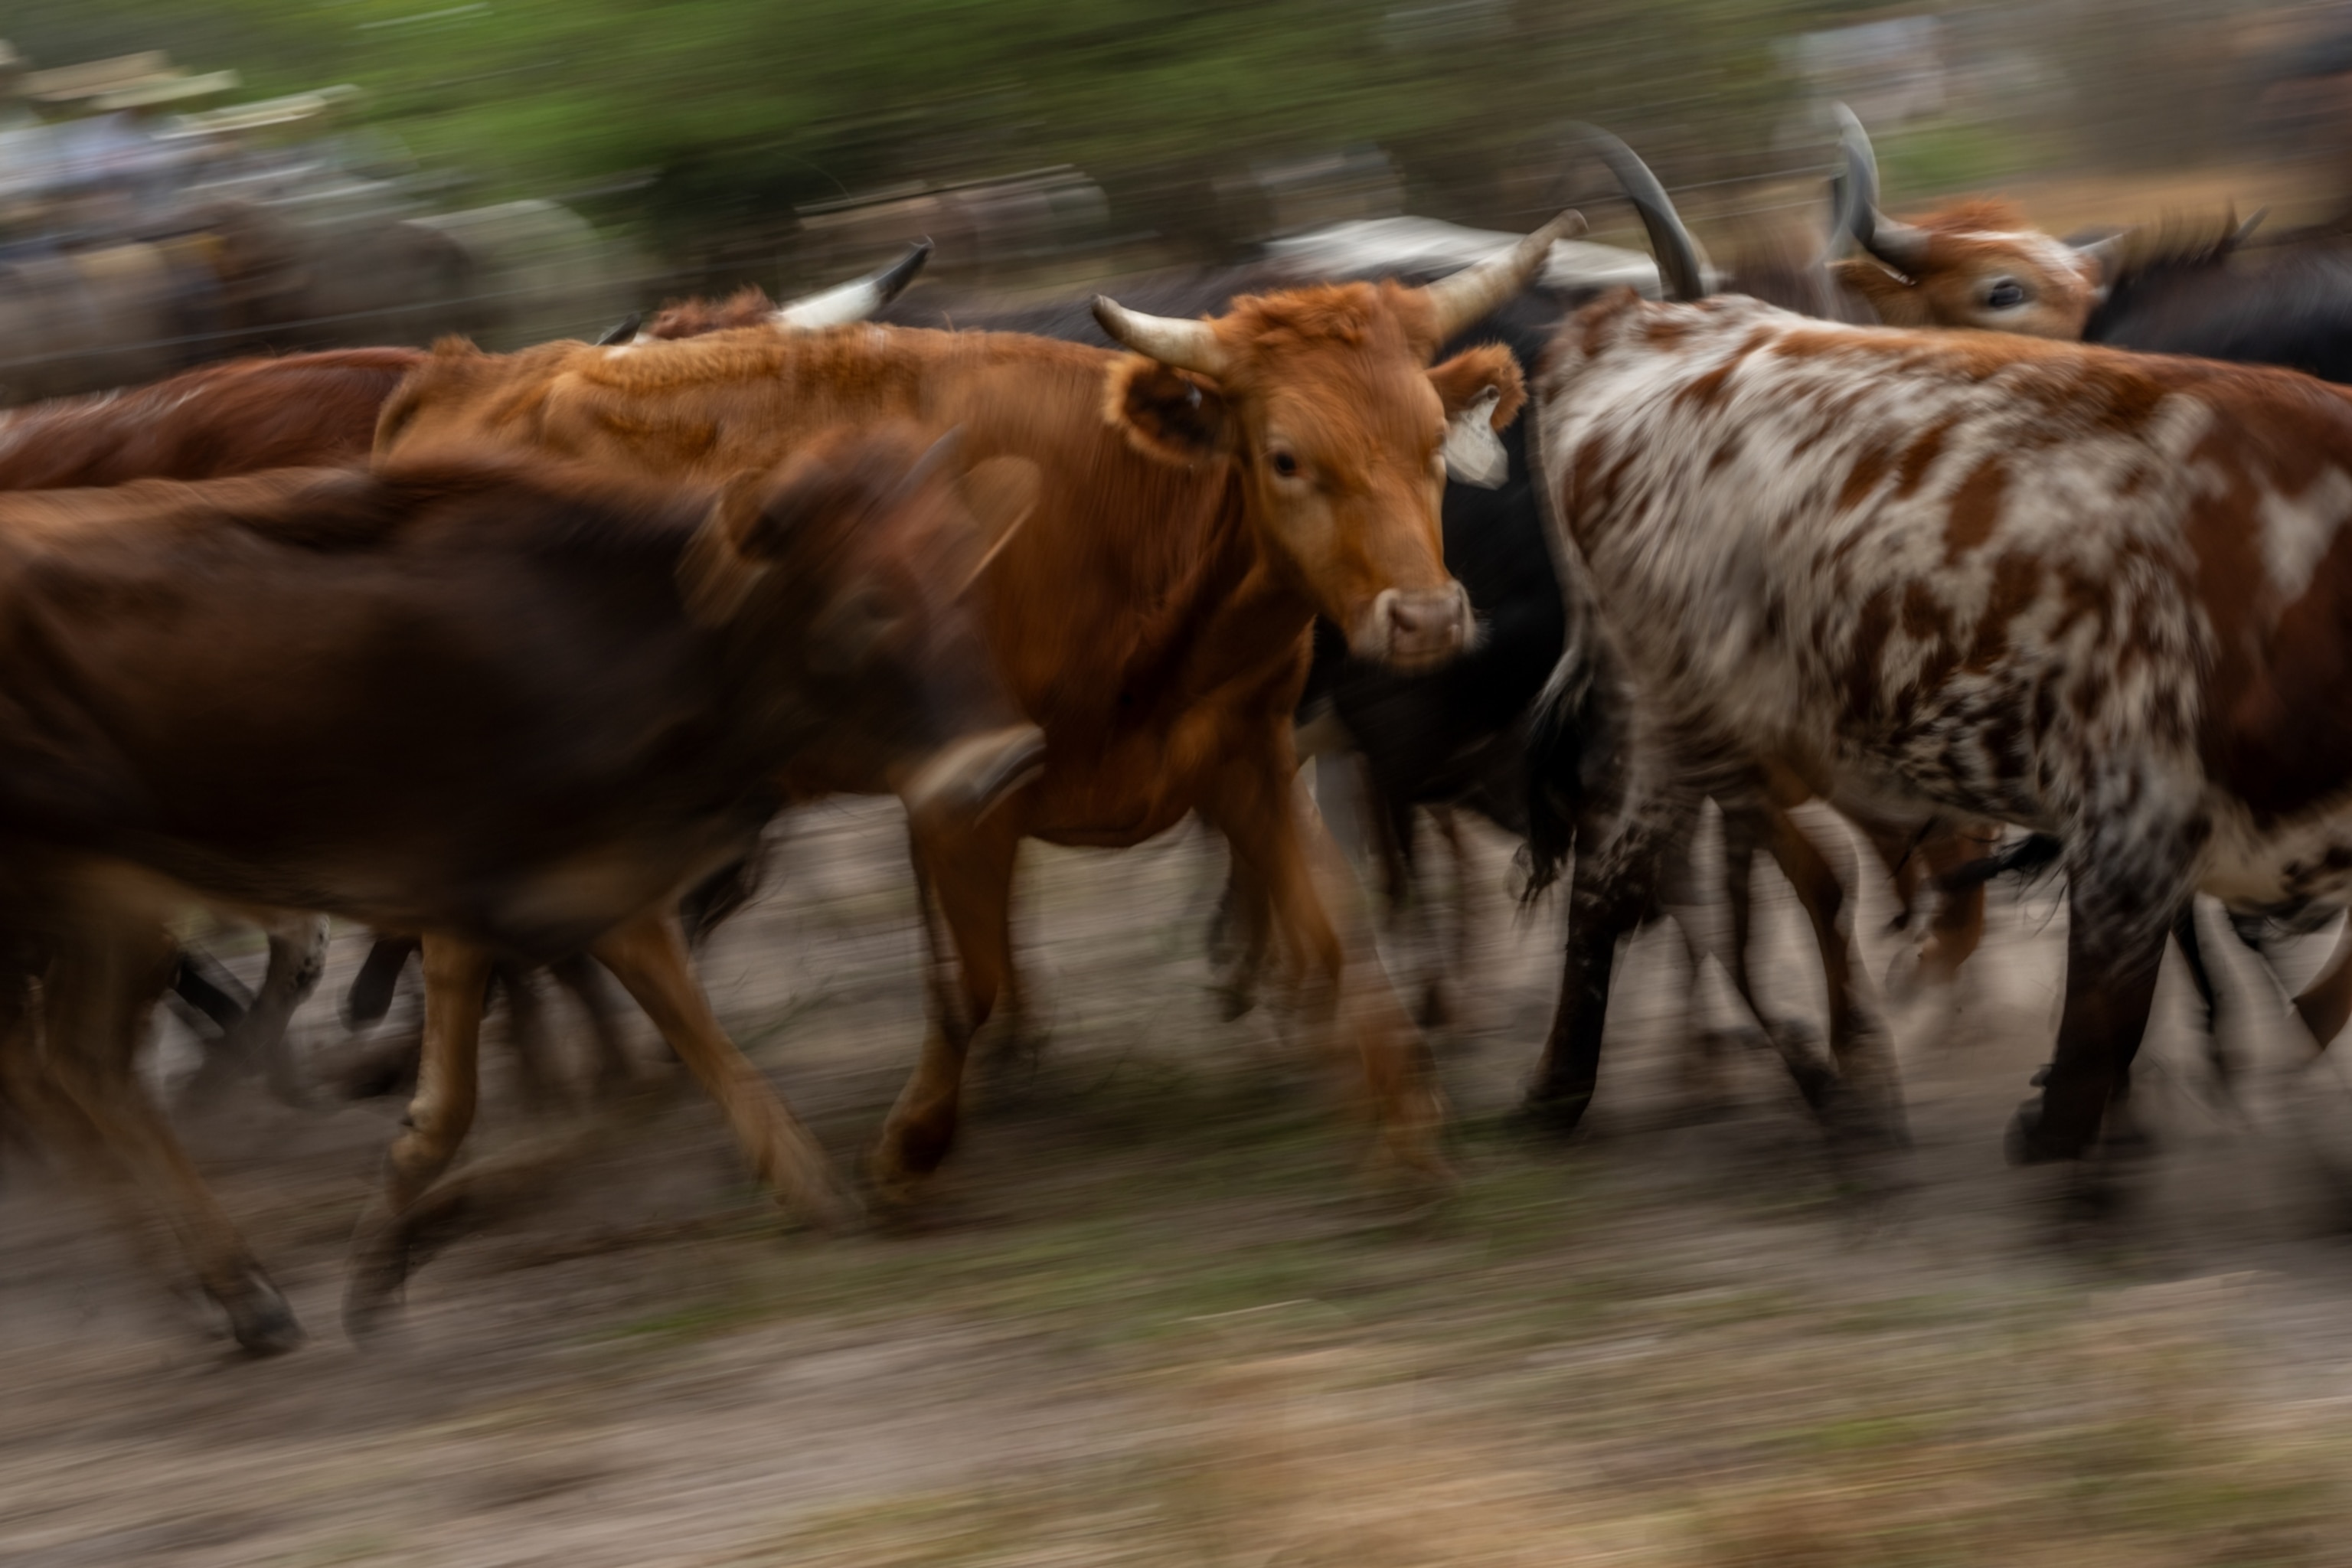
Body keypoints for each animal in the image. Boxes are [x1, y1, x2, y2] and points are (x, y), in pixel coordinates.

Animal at [0, 427, 1042, 1350]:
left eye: (965, 566)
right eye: (867, 603)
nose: (1002, 763)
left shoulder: (601, 891)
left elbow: (680, 1064)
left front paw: (818, 1192)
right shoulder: (479, 890)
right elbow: (470, 1108)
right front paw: (390, 1257)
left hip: (108, 905)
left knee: (80, 1065)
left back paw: (215, 1291)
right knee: (61, 1068)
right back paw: (221, 1286)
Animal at [372, 219, 1579, 1194]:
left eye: (1431, 443)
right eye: (1286, 456)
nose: (1424, 619)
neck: (1115, 521)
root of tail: (457, 383)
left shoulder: (1246, 759)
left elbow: (1337, 935)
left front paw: (1404, 1130)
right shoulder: (965, 794)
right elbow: (976, 978)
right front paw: (914, 1144)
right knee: (524, 930)